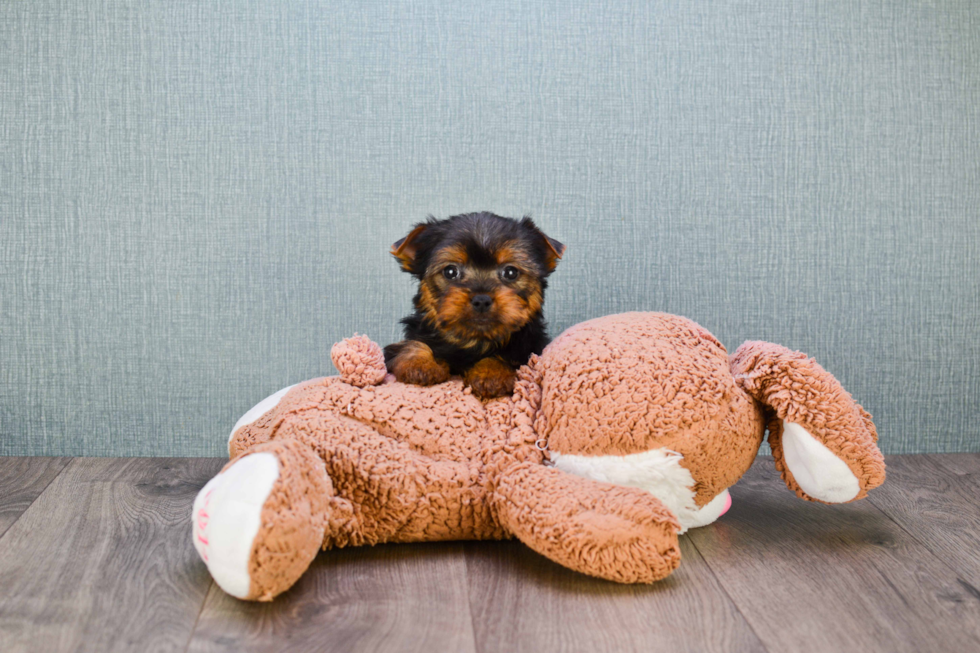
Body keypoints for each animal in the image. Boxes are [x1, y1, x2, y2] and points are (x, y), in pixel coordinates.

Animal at [384, 213, 568, 398]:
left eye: (511, 272)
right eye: (450, 272)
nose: (481, 300)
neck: (474, 342)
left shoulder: (529, 350)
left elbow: (507, 356)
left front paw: (490, 373)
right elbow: (409, 345)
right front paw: (420, 363)